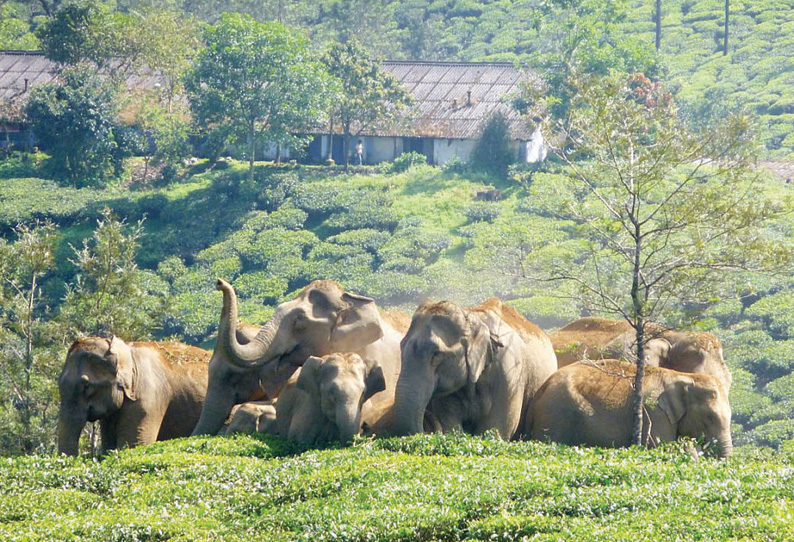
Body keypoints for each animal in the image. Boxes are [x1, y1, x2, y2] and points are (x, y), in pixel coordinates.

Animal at [524, 362, 732, 460]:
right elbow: (663, 448)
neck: (683, 376)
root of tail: (541, 389)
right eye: (709, 417)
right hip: (554, 416)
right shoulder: (654, 413)